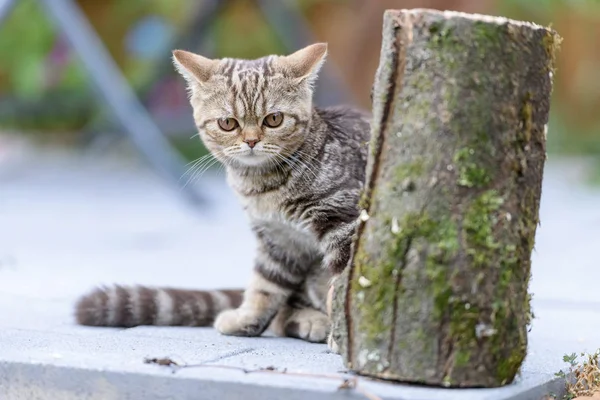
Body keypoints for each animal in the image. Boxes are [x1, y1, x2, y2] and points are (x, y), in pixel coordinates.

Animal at [75, 43, 370, 350]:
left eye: (274, 119)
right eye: (228, 123)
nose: (251, 140)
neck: (265, 188)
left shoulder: (344, 223)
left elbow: (344, 288)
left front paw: (343, 336)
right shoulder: (278, 239)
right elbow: (265, 284)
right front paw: (247, 318)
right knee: (284, 314)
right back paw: (310, 320)